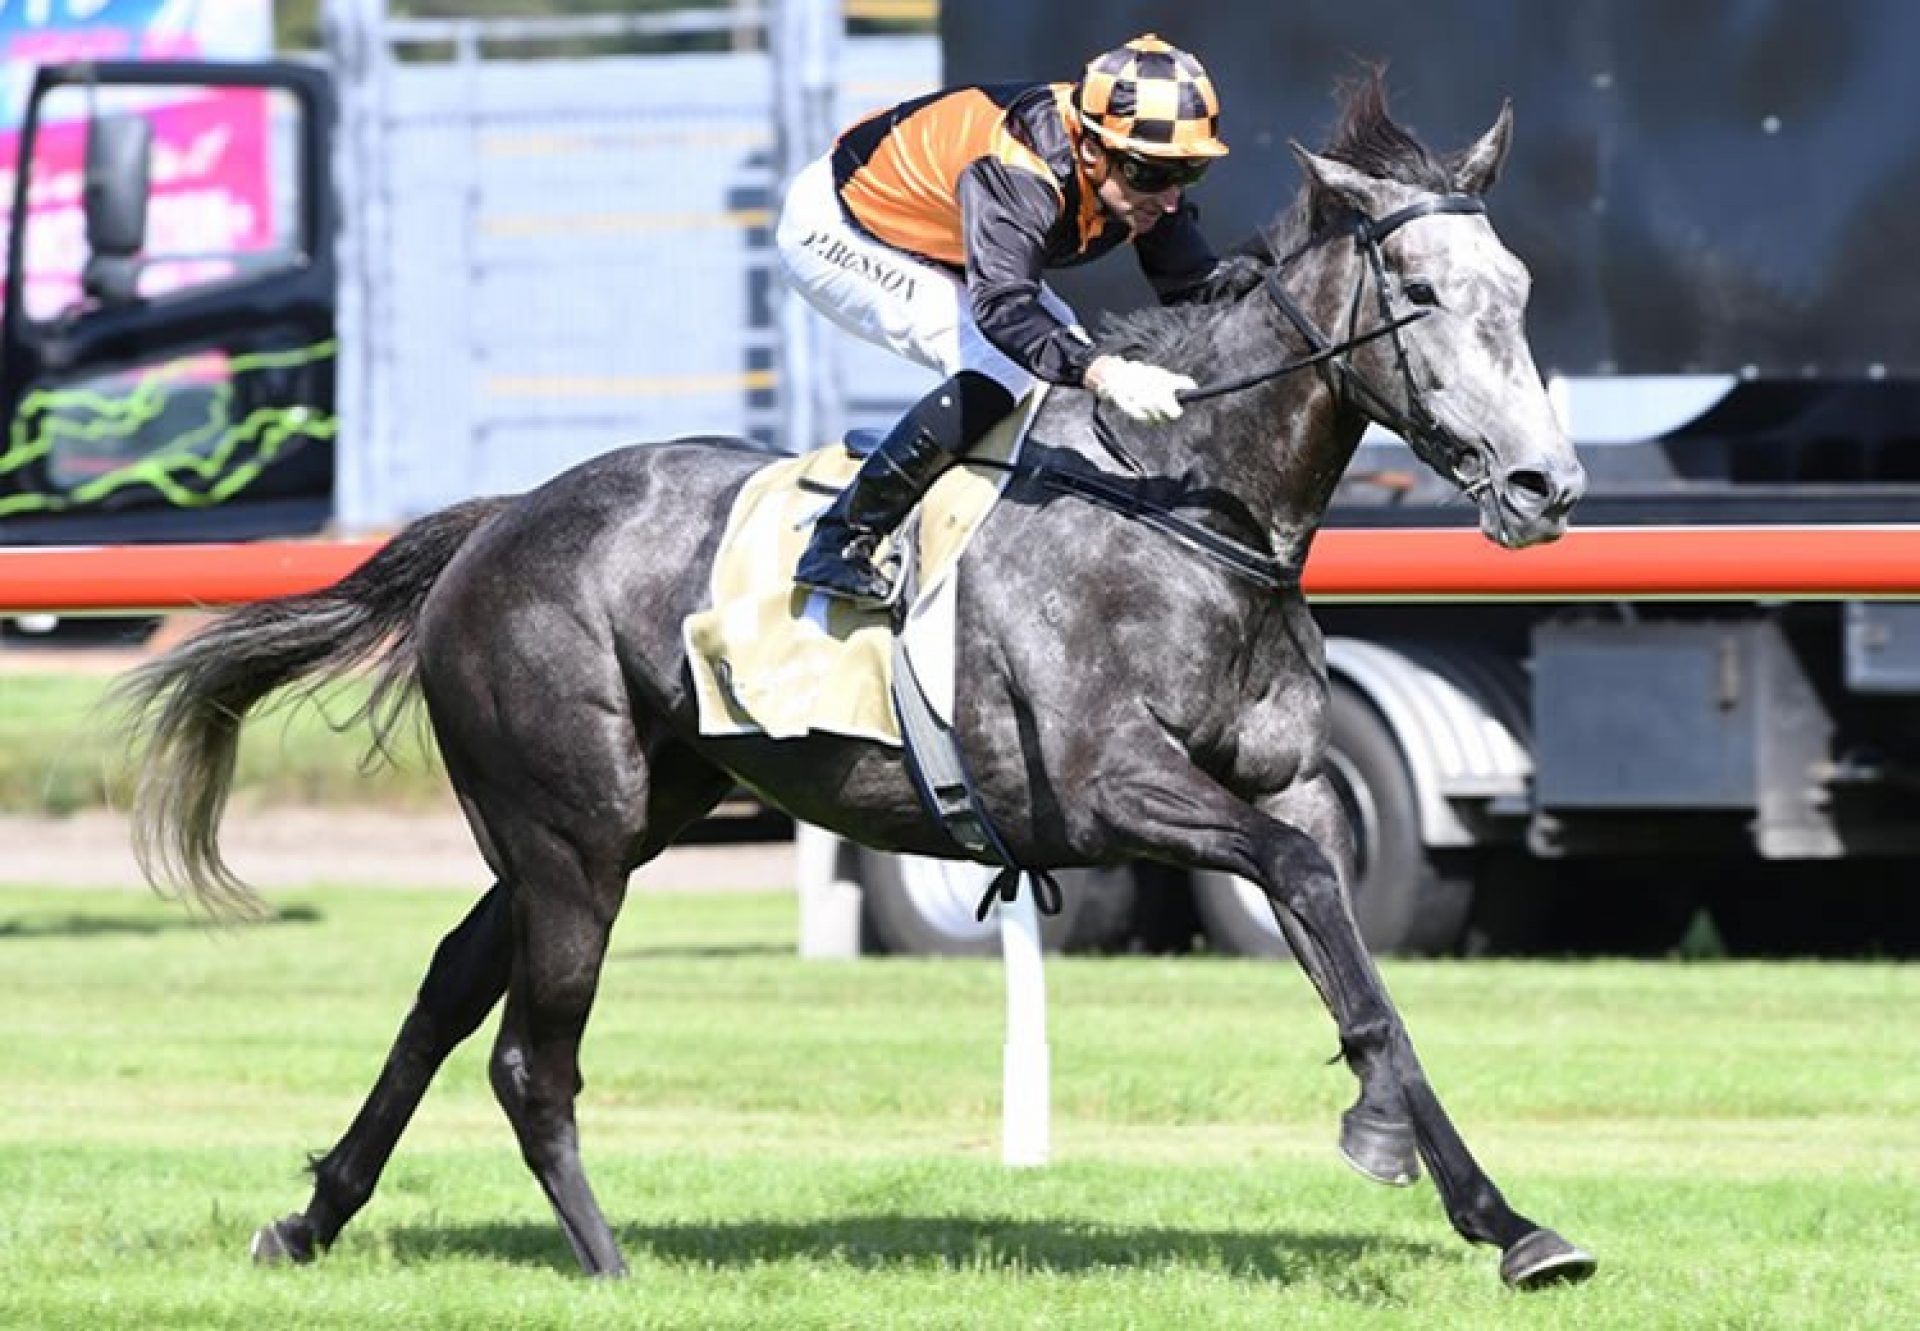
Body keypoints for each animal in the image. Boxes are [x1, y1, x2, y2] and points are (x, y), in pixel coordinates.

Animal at [116, 72, 1589, 1290]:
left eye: (1518, 291)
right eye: (1422, 299)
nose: (1546, 484)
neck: (1181, 503)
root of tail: (493, 523)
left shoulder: (1289, 783)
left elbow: (1351, 948)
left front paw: (1501, 1214)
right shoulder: (1111, 788)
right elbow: (1302, 888)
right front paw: (1398, 1144)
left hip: (608, 820)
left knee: (442, 990)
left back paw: (311, 1216)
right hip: (572, 835)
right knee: (530, 1055)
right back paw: (610, 1264)